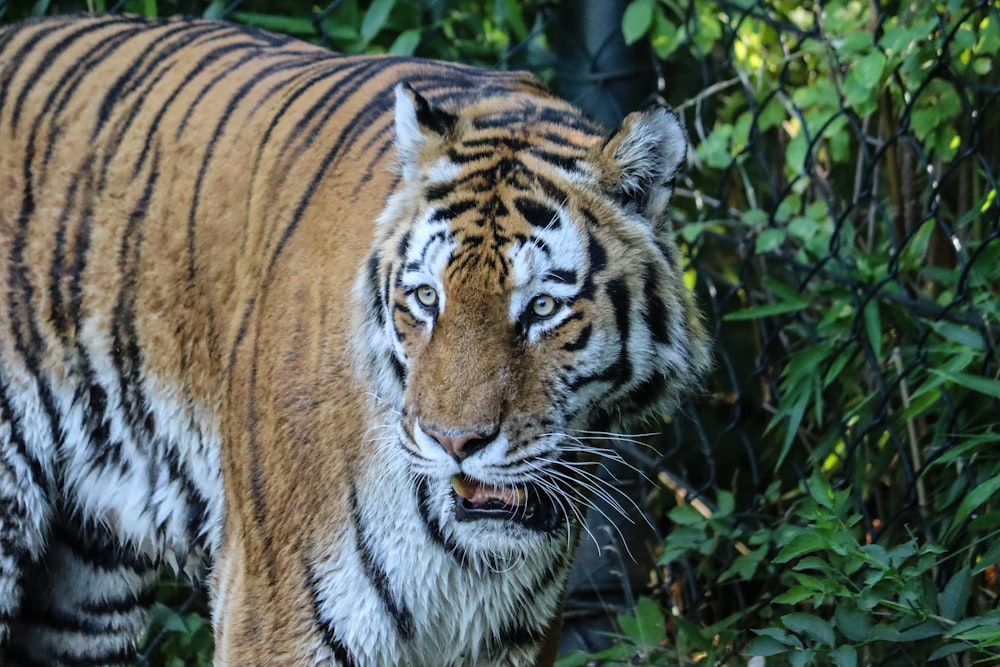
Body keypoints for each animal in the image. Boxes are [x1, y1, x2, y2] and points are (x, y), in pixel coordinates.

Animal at [0, 11, 712, 667]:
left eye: (541, 308)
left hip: (90, 575)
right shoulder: (275, 612)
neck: (463, 557)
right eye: (426, 298)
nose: (455, 444)